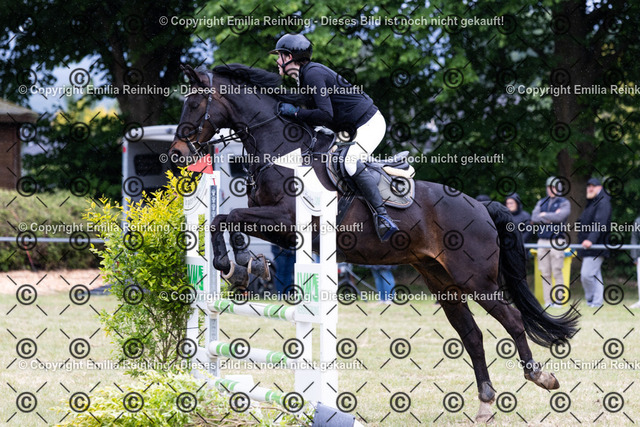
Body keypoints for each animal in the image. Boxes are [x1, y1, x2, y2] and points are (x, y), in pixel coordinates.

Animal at [169, 63, 579, 422]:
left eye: (194, 103)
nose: (177, 154)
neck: (281, 152)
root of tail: (481, 206)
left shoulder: (287, 220)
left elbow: (226, 218)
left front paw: (232, 265)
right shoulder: (276, 224)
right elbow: (227, 220)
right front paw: (244, 266)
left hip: (476, 279)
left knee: (512, 319)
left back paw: (541, 377)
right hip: (443, 282)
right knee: (472, 336)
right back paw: (485, 406)